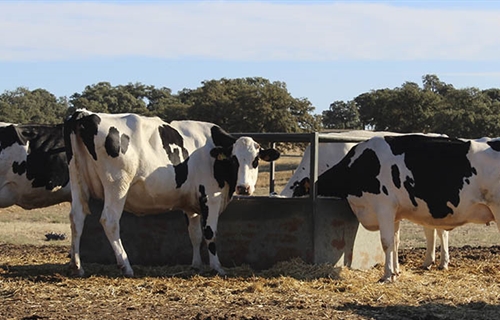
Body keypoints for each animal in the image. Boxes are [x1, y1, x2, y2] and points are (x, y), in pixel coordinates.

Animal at [63, 110, 280, 278]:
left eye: (255, 160)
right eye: (234, 160)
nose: (244, 187)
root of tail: (84, 114)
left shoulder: (191, 205)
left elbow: (194, 234)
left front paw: (196, 265)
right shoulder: (210, 197)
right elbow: (210, 233)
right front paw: (217, 267)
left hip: (77, 180)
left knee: (77, 218)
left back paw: (77, 266)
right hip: (117, 185)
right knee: (110, 221)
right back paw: (126, 266)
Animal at [300, 135, 500, 282]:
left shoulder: (384, 207)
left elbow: (386, 242)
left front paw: (387, 275)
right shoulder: (395, 214)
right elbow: (396, 242)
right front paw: (396, 271)